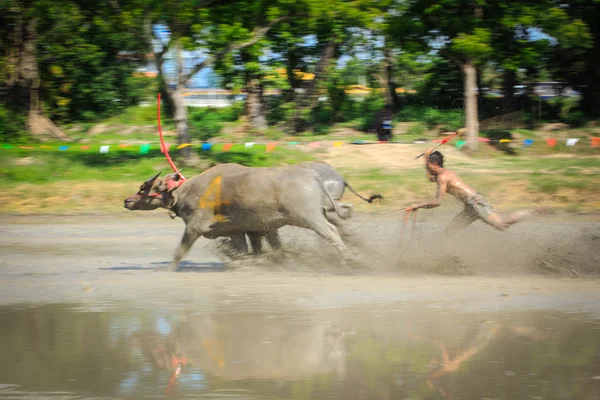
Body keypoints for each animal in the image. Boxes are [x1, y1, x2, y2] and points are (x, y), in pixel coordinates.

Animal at [123, 164, 354, 270]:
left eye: (143, 187)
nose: (126, 201)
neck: (186, 192)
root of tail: (315, 179)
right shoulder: (238, 231)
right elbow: (246, 251)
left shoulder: (194, 228)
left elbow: (179, 251)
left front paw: (170, 268)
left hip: (309, 217)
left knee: (332, 233)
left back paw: (349, 260)